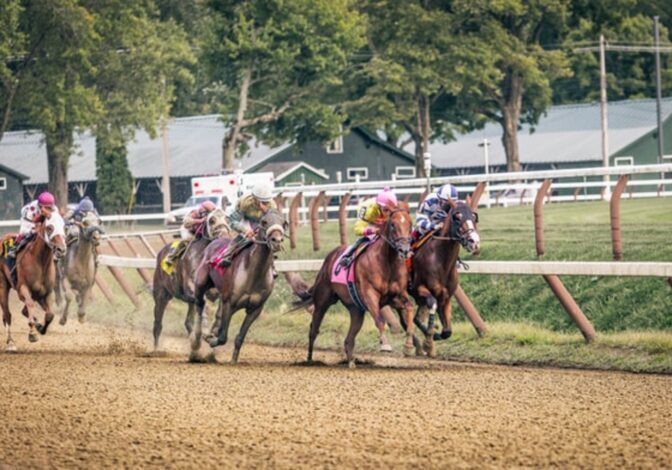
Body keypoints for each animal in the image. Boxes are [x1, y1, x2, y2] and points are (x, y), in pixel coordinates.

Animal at [0, 213, 67, 348]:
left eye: (63, 226)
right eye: (50, 228)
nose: (61, 250)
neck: (40, 261)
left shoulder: (46, 293)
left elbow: (50, 315)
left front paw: (41, 328)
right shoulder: (23, 289)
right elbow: (30, 304)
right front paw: (32, 334)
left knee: (24, 310)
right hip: (3, 285)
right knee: (7, 314)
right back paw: (10, 342)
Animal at [151, 207, 230, 350]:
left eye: (227, 219)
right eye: (211, 220)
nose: (225, 236)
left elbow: (220, 308)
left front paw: (215, 330)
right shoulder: (192, 289)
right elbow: (204, 308)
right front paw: (206, 332)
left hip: (187, 301)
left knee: (188, 322)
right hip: (161, 295)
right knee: (157, 325)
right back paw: (156, 349)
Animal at [189, 208, 286, 364]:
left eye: (284, 222)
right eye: (264, 221)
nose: (276, 241)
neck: (254, 273)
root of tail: (215, 240)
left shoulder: (255, 309)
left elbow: (240, 337)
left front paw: (233, 360)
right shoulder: (230, 303)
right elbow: (223, 336)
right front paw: (211, 340)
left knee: (216, 315)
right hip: (201, 283)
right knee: (199, 306)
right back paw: (197, 340)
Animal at [288, 204, 414, 370]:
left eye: (410, 224)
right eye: (393, 225)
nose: (404, 250)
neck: (387, 262)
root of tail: (329, 258)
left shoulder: (397, 296)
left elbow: (410, 309)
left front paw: (409, 346)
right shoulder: (370, 295)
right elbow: (379, 320)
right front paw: (385, 344)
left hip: (356, 310)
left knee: (349, 338)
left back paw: (351, 361)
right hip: (323, 301)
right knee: (313, 329)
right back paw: (309, 359)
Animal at [406, 198, 480, 356]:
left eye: (474, 216)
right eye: (457, 217)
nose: (474, 242)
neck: (440, 260)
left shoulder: (445, 296)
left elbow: (447, 331)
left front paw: (434, 335)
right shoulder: (420, 288)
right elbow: (432, 303)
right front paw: (429, 341)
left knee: (414, 318)